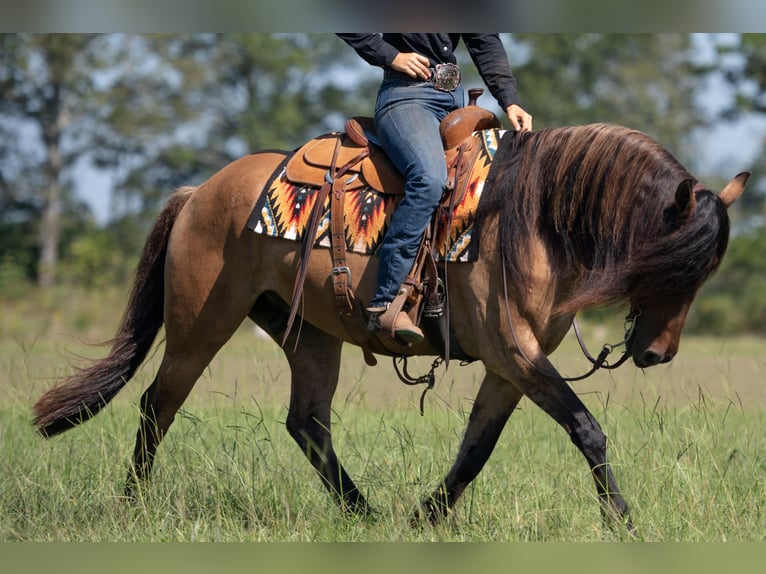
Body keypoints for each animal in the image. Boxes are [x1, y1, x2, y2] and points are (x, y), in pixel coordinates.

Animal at [31, 121, 752, 532]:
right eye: (670, 264)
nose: (658, 353)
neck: (531, 218)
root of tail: (198, 192)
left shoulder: (509, 366)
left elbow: (476, 449)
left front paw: (423, 517)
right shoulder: (516, 354)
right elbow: (586, 427)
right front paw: (624, 522)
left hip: (308, 335)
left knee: (307, 423)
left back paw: (363, 513)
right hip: (199, 324)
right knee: (158, 405)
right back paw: (132, 507)